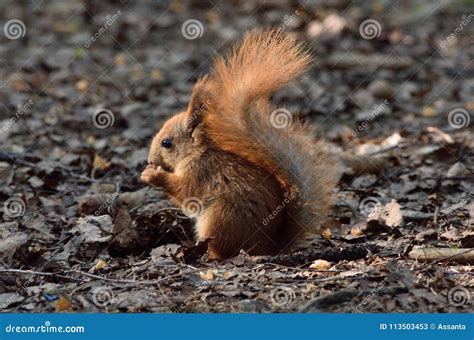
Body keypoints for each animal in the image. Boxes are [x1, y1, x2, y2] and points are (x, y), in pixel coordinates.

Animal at [141, 29, 370, 260]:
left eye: (166, 143)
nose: (150, 160)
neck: (197, 153)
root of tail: (270, 247)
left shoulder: (199, 172)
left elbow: (185, 191)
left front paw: (152, 175)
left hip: (220, 217)